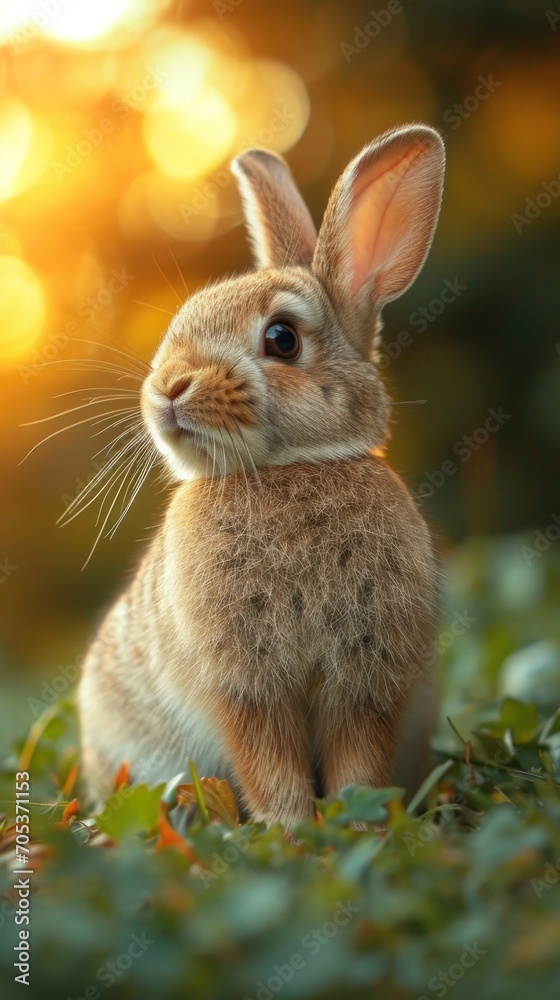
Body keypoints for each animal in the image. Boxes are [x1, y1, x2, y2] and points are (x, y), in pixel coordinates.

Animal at [78, 123, 445, 826]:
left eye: (282, 339)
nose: (168, 388)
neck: (289, 469)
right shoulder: (245, 684)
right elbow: (268, 763)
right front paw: (291, 828)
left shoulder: (366, 676)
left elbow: (357, 756)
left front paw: (353, 820)